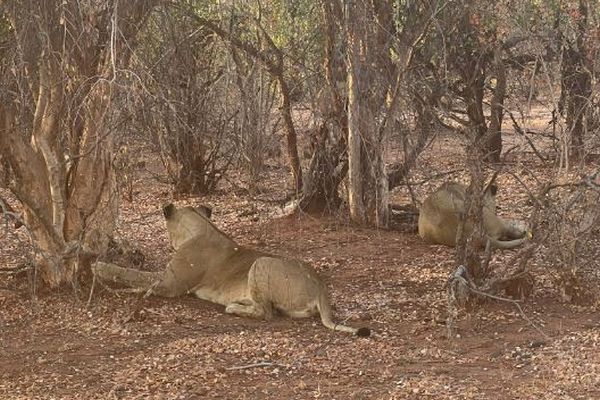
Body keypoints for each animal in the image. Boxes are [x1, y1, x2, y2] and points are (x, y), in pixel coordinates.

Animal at [92, 203, 370, 338]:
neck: (201, 226)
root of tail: (322, 287)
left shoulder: (170, 283)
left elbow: (131, 274)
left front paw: (98, 266)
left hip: (261, 263)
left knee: (266, 313)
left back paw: (234, 307)